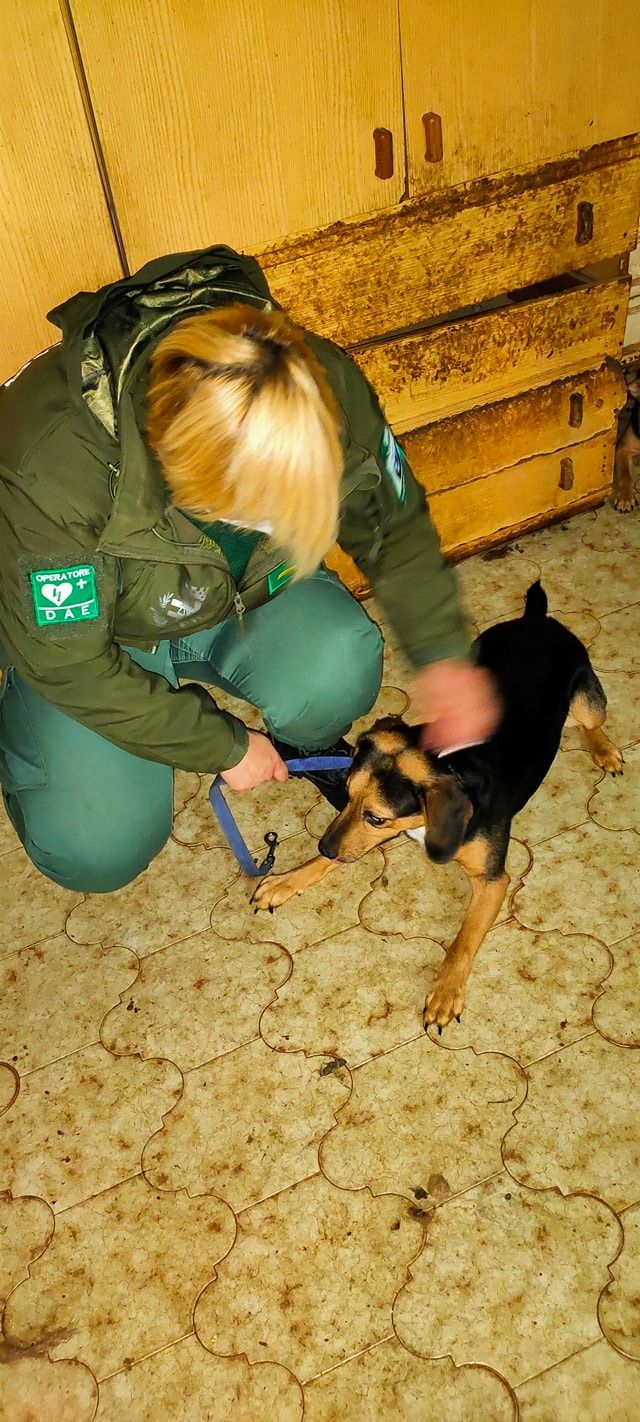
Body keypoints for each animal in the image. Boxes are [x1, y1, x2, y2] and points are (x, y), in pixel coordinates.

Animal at [252, 582, 623, 1030]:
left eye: (376, 816)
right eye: (346, 791)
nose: (323, 845)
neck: (448, 761)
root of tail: (536, 620)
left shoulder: (491, 880)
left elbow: (462, 941)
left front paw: (446, 992)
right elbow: (337, 856)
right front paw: (286, 880)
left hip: (587, 697)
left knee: (590, 723)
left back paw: (604, 750)